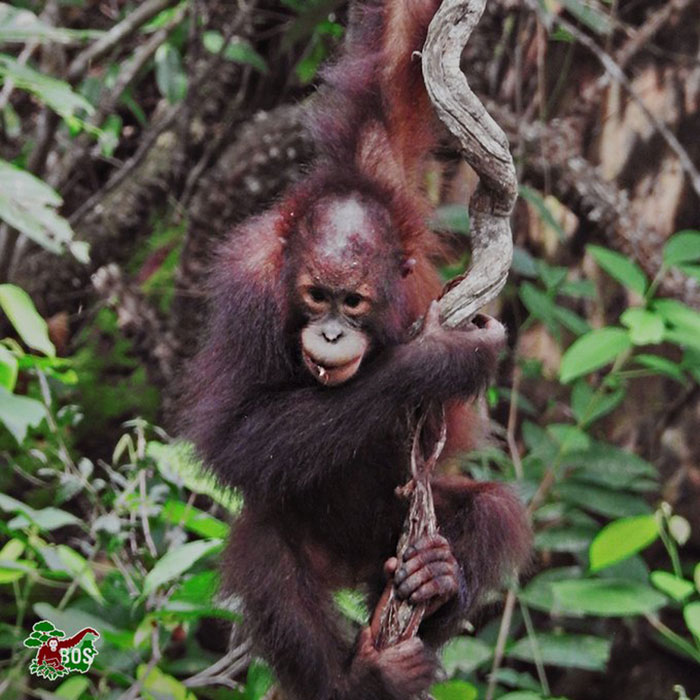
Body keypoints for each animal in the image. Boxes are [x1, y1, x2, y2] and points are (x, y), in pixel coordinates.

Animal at [183, 1, 530, 698]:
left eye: (354, 302)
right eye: (317, 297)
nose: (332, 333)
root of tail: (352, 567)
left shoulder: (381, 159)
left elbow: (397, 55)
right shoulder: (246, 287)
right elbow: (231, 432)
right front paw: (441, 359)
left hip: (393, 544)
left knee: (492, 510)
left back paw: (436, 580)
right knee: (266, 556)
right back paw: (365, 676)